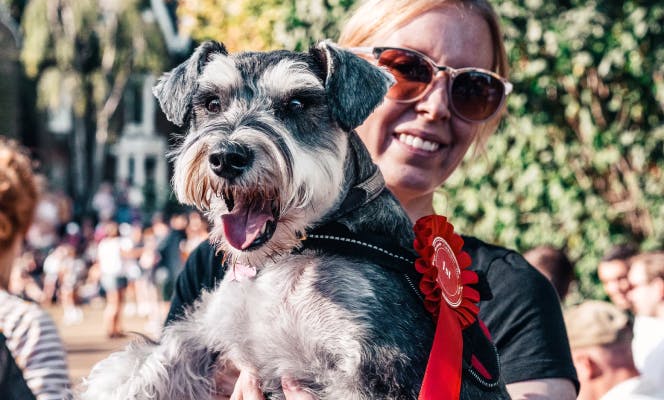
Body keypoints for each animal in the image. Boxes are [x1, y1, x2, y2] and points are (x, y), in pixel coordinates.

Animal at [79, 40, 508, 400]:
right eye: (212, 102)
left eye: (298, 104)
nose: (227, 156)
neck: (291, 253)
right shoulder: (208, 329)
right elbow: (155, 358)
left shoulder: (373, 369)